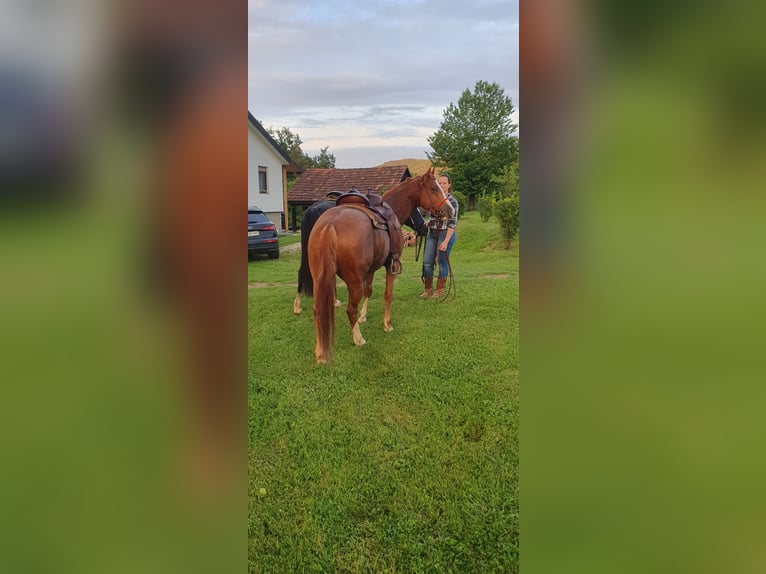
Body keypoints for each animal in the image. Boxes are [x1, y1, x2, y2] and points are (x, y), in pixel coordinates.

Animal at [308, 168, 456, 364]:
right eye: (433, 188)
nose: (451, 210)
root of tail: (329, 225)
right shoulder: (391, 266)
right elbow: (388, 295)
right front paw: (387, 325)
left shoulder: (371, 269)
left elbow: (369, 290)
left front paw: (364, 316)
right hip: (353, 282)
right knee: (350, 309)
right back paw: (358, 339)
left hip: (319, 279)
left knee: (318, 310)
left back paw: (319, 350)